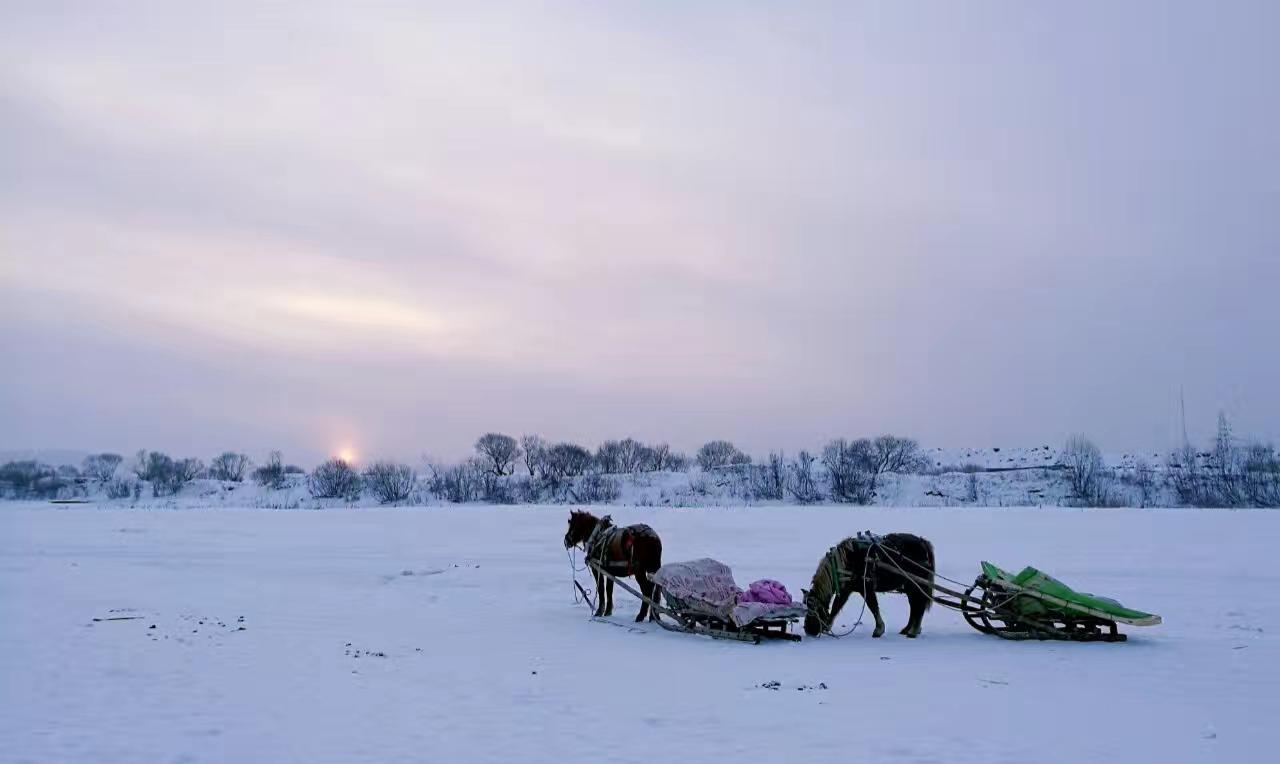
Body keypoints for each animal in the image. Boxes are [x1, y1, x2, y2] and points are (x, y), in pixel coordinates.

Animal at [803, 532, 936, 634]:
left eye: (812, 609)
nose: (808, 630)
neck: (846, 561)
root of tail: (923, 542)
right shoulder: (847, 589)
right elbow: (837, 606)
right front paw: (827, 626)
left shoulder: (866, 587)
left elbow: (873, 606)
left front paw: (879, 629)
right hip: (910, 586)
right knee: (914, 606)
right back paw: (907, 629)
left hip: (916, 585)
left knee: (919, 605)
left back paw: (913, 631)